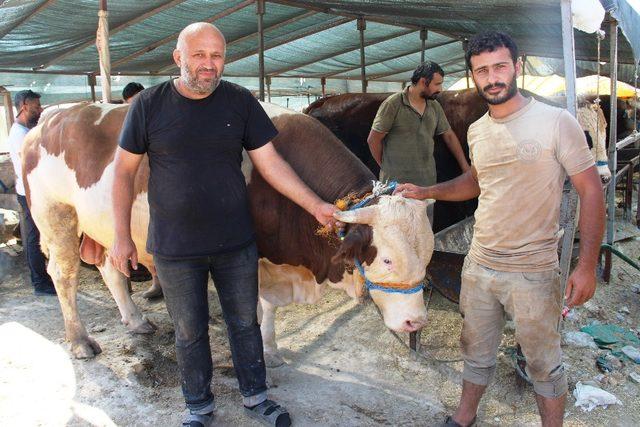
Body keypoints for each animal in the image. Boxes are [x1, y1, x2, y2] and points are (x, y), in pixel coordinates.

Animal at [21, 101, 436, 364]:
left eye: (428, 256)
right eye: (386, 259)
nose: (416, 323)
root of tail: (52, 116)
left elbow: (267, 308)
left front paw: (271, 349)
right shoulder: (251, 257)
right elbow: (256, 308)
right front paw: (262, 353)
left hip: (110, 228)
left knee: (110, 269)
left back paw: (136, 321)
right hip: (56, 217)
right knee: (64, 275)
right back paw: (79, 341)